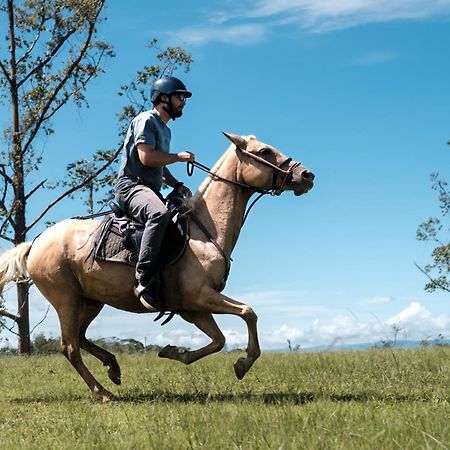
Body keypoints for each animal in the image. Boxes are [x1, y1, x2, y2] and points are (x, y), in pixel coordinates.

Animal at [0, 133, 314, 400]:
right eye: (264, 151)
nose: (306, 175)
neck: (204, 231)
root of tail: (35, 242)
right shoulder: (200, 297)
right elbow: (248, 313)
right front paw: (243, 364)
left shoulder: (192, 308)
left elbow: (219, 339)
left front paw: (174, 352)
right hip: (66, 300)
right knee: (70, 347)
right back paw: (103, 392)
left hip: (90, 301)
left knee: (80, 337)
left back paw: (113, 368)